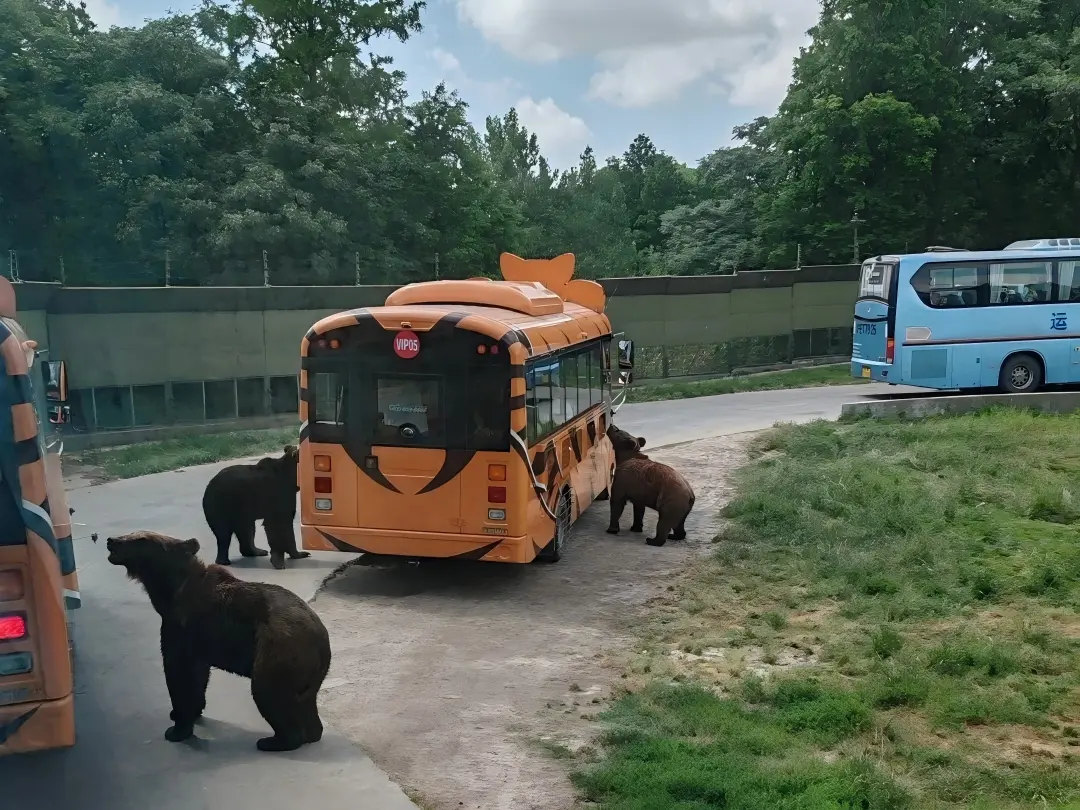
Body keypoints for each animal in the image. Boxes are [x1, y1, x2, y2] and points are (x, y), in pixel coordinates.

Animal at [105, 530, 332, 752]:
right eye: (132, 533)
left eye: (141, 538)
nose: (111, 540)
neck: (171, 592)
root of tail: (322, 639)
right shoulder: (199, 640)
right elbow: (198, 676)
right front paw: (188, 712)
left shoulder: (185, 626)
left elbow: (179, 674)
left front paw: (176, 728)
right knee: (303, 701)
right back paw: (312, 732)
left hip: (278, 648)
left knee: (268, 691)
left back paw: (274, 741)